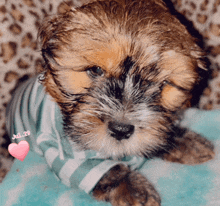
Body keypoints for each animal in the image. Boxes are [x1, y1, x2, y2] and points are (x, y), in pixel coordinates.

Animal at [9, 0, 215, 206]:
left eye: (162, 84)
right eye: (96, 70)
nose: (121, 130)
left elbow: (159, 133)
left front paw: (186, 143)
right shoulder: (60, 147)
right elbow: (102, 170)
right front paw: (133, 188)